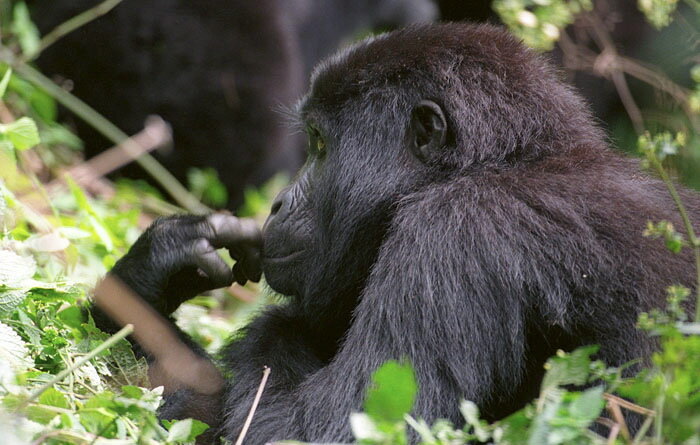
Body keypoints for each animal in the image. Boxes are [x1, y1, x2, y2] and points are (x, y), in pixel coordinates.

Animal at [95, 23, 696, 440]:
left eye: (319, 143)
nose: (278, 204)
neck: (504, 161)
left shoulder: (454, 232)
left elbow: (319, 430)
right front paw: (153, 275)